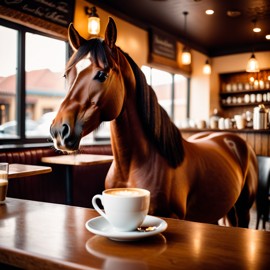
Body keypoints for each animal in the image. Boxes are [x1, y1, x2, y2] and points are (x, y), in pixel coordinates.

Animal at [50, 17, 258, 227]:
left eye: (102, 74)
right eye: (66, 75)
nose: (60, 131)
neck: (134, 165)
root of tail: (231, 139)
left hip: (243, 210)